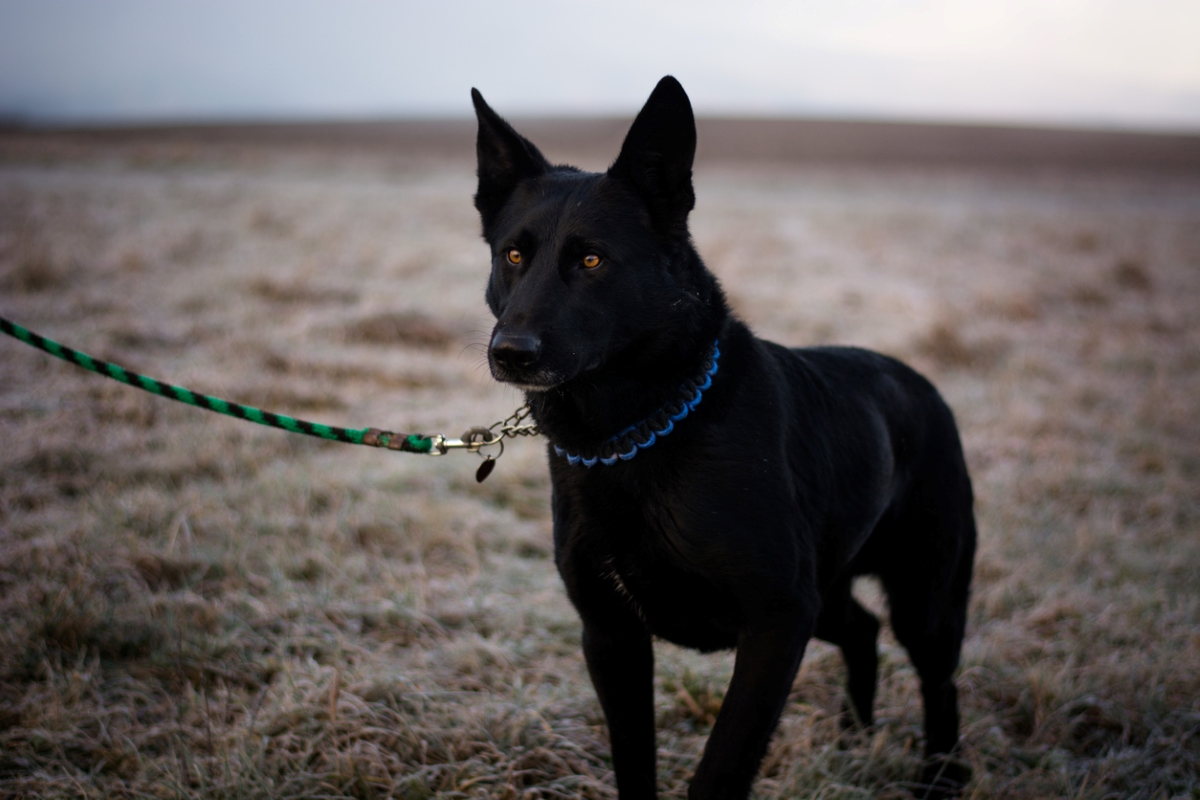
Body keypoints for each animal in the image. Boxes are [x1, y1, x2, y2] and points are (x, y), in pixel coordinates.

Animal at [468, 76, 974, 800]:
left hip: (924, 593)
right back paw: (853, 737)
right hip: (827, 593)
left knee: (938, 676)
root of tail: (921, 384)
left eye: (591, 259)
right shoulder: (611, 635)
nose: (510, 353)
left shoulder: (776, 622)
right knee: (862, 629)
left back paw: (942, 776)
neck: (633, 434)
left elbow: (721, 768)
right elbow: (634, 764)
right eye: (513, 255)